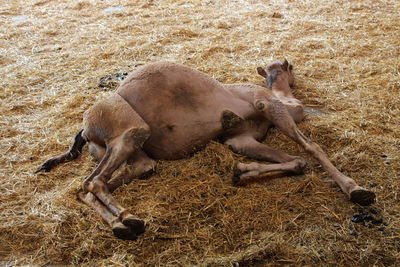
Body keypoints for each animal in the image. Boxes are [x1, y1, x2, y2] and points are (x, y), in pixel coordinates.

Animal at [36, 60, 376, 241]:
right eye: (289, 69)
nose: (297, 77)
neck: (282, 96)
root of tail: (84, 129)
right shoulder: (270, 106)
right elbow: (311, 148)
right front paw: (357, 190)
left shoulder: (241, 139)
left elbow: (295, 161)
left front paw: (240, 172)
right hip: (128, 129)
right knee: (93, 181)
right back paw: (128, 220)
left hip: (131, 155)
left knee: (95, 184)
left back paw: (123, 224)